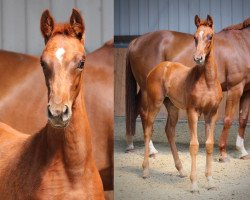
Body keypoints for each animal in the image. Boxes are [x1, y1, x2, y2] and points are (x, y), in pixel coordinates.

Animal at [143, 14, 223, 191]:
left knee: (169, 131)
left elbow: (209, 144)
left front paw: (210, 181)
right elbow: (194, 145)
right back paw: (145, 170)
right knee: (148, 130)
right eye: (194, 37)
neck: (207, 81)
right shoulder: (192, 112)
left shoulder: (212, 113)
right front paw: (194, 184)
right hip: (154, 104)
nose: (198, 58)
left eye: (210, 36)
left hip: (172, 107)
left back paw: (180, 170)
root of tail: (156, 69)